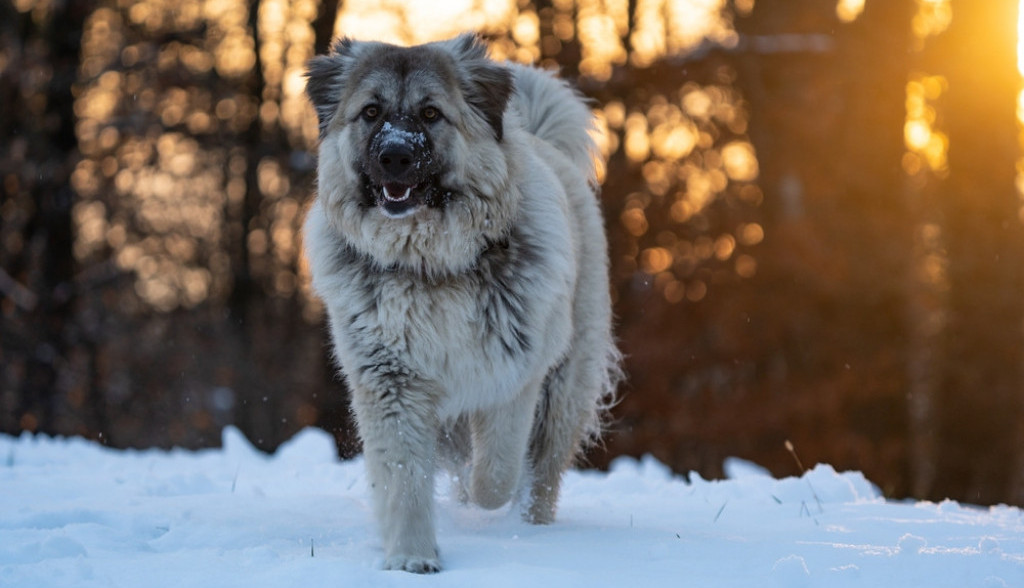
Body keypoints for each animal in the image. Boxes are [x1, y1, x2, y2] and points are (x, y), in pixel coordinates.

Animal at [303, 33, 618, 577]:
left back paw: (530, 529)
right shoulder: (392, 383)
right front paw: (412, 556)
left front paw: (486, 504)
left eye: (431, 113)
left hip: (565, 390)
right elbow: (404, 477)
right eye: (371, 112)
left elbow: (497, 474)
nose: (395, 156)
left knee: (540, 475)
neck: (429, 268)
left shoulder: (515, 379)